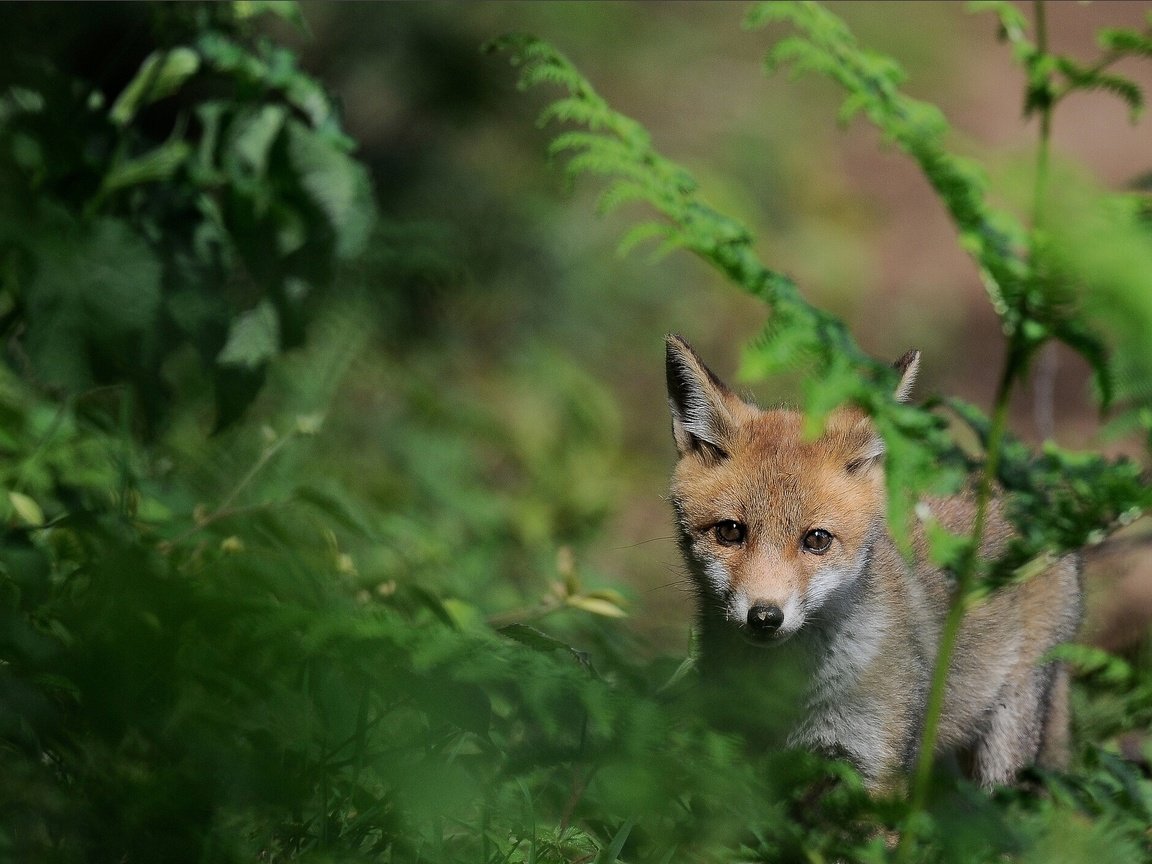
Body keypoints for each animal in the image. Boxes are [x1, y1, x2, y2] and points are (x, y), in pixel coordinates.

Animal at [668, 334, 1078, 797]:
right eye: (730, 532)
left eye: (817, 540)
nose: (765, 617)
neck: (789, 694)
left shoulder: (875, 769)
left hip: (1002, 748)